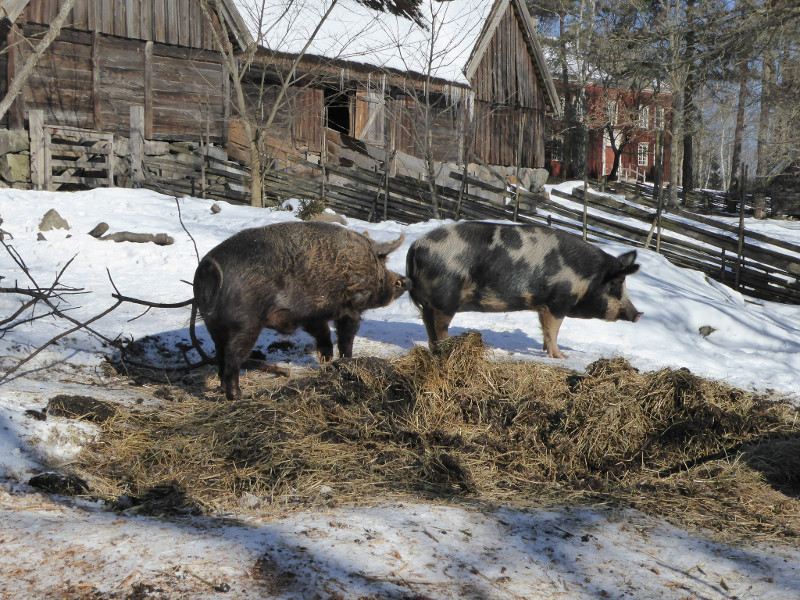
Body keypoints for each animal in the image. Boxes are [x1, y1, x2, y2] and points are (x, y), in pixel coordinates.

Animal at [193, 221, 409, 400]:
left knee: (220, 353)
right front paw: (347, 361)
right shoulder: (350, 307)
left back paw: (222, 389)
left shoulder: (312, 315)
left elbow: (324, 337)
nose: (405, 280)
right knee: (232, 356)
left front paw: (327, 363)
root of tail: (209, 269)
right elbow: (345, 338)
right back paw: (237, 395)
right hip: (245, 323)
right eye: (383, 262)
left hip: (213, 324)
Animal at [405, 221, 642, 358]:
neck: (587, 276)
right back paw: (447, 346)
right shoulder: (559, 302)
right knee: (439, 325)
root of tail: (415, 246)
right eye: (617, 284)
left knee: (428, 325)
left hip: (429, 302)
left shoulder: (543, 305)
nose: (638, 314)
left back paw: (436, 349)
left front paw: (548, 351)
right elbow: (554, 329)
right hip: (445, 299)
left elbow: (545, 328)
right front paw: (561, 357)